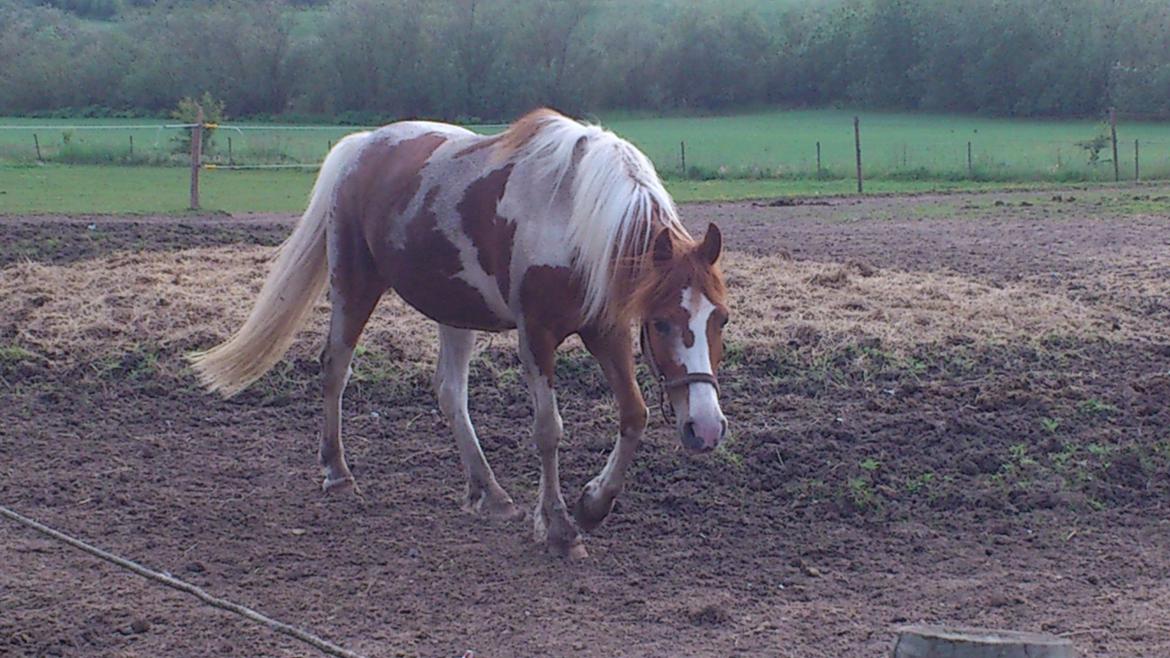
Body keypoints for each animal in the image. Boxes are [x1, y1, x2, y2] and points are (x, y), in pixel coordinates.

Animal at [188, 106, 725, 552]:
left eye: (719, 318)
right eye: (660, 322)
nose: (706, 428)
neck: (573, 216)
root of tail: (361, 146)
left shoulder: (605, 327)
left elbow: (634, 415)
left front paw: (593, 504)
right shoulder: (536, 335)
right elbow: (548, 430)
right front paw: (557, 527)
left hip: (454, 312)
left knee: (450, 393)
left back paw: (488, 491)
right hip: (354, 284)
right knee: (335, 369)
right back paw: (337, 473)